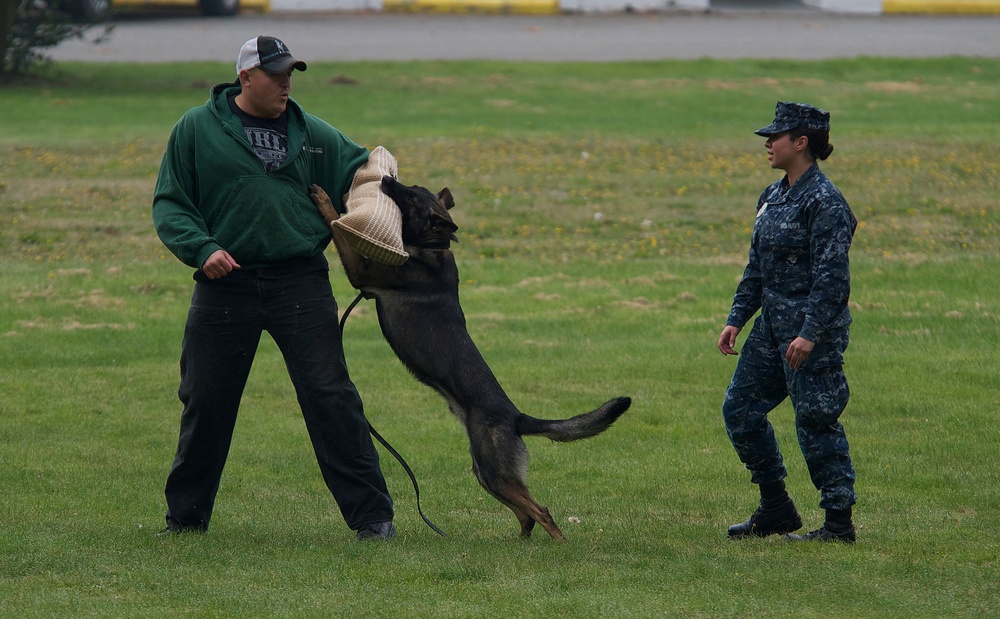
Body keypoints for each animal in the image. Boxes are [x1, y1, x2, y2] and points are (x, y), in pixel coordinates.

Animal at [308, 177, 628, 540]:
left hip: (495, 472)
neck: (432, 247)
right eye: (411, 187)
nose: (387, 180)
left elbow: (337, 226)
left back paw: (559, 544)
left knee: (542, 512)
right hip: (486, 474)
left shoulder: (362, 276)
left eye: (411, 197)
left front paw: (325, 200)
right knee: (526, 515)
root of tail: (516, 416)